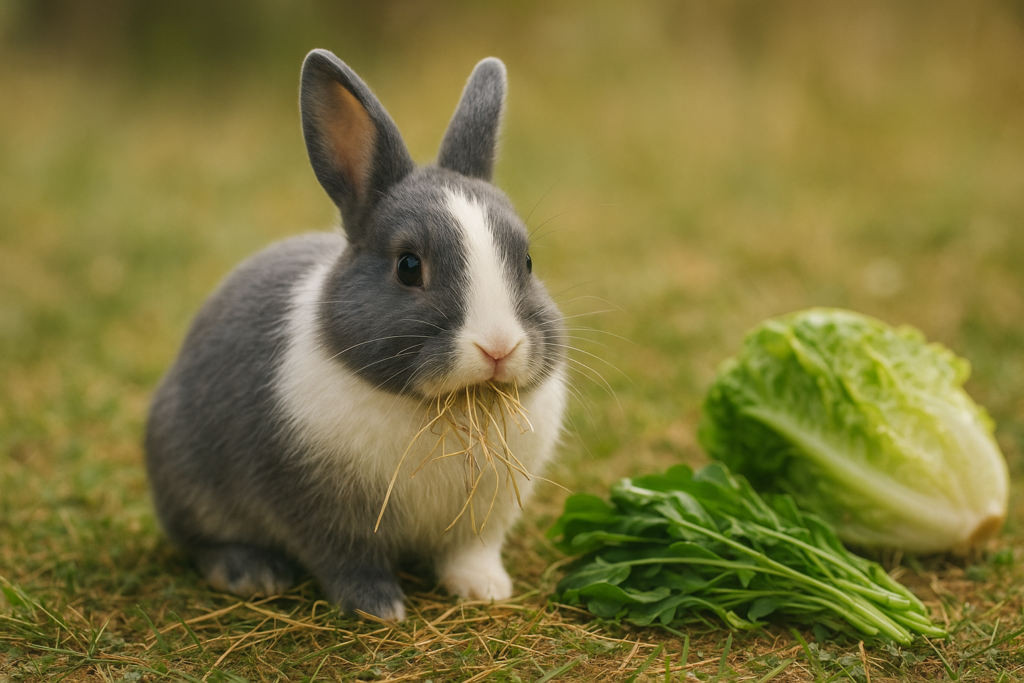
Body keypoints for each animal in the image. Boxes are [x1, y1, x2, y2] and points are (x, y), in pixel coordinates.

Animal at [144, 49, 568, 621]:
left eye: (527, 262)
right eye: (408, 266)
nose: (498, 348)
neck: (447, 407)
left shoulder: (484, 516)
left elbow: (471, 552)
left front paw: (486, 589)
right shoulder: (318, 510)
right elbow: (347, 561)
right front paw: (378, 607)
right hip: (188, 480)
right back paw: (250, 573)